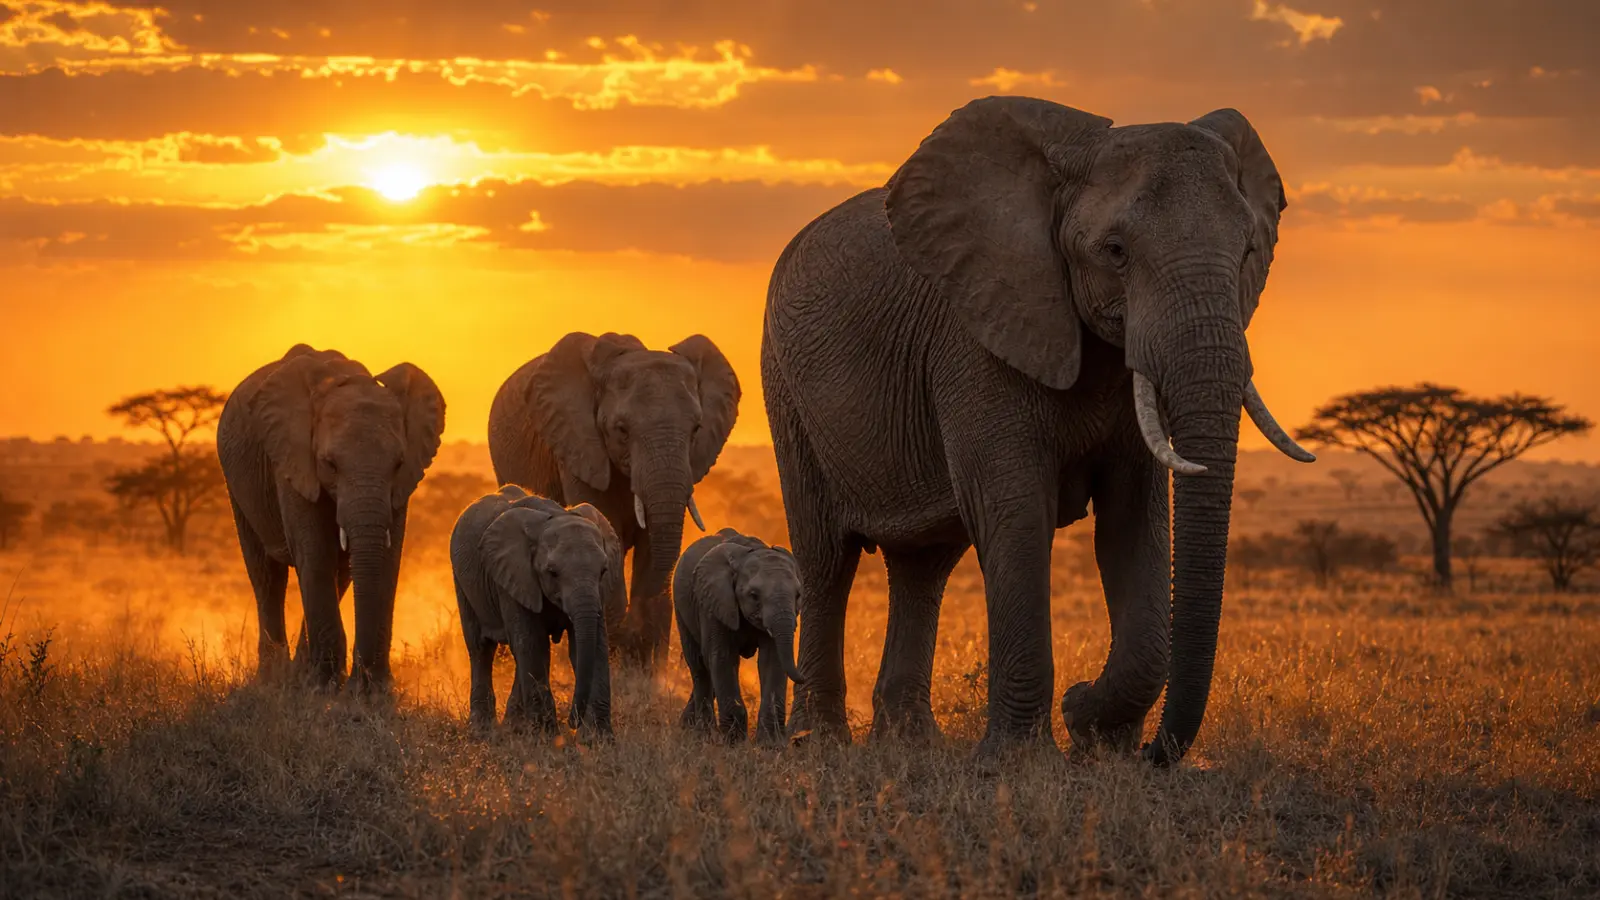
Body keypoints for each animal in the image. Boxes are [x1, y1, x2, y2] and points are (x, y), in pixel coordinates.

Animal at [218, 344, 446, 692]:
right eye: (330, 464)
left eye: (397, 463)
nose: (362, 683)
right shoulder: (292, 461)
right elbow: (314, 552)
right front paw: (322, 689)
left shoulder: (401, 484)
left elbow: (388, 557)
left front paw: (374, 694)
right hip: (238, 486)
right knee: (268, 577)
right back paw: (276, 680)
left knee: (338, 574)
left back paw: (300, 672)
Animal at [450, 485, 623, 735]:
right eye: (552, 572)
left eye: (603, 571)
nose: (572, 722)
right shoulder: (514, 576)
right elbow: (533, 643)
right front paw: (547, 737)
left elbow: (594, 645)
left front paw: (599, 739)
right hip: (463, 582)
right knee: (481, 648)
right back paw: (482, 730)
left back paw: (513, 726)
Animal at [488, 331, 741, 670]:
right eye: (621, 430)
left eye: (696, 429)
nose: (631, 631)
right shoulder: (579, 446)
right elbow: (604, 526)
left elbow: (655, 544)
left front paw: (643, 670)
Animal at [673, 528, 805, 744]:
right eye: (753, 595)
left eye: (798, 595)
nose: (803, 678)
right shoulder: (713, 604)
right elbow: (722, 657)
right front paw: (734, 744)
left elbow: (772, 660)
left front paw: (770, 745)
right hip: (681, 607)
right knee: (700, 667)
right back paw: (701, 735)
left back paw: (687, 726)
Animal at [760, 96, 1314, 764]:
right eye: (1115, 251)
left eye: (1249, 251)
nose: (1155, 754)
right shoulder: (976, 338)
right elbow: (1017, 511)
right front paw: (1025, 758)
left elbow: (1133, 522)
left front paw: (1097, 738)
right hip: (786, 390)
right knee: (826, 558)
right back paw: (817, 743)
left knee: (924, 565)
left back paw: (912, 742)